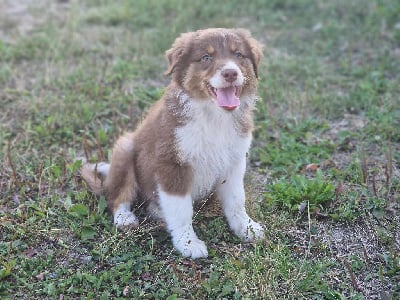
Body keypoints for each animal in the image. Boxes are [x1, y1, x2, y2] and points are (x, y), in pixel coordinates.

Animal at [79, 27, 264, 258]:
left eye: (238, 54)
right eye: (206, 57)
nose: (230, 73)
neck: (213, 116)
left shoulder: (234, 161)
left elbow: (237, 200)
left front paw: (246, 228)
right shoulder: (172, 163)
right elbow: (181, 209)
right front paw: (188, 243)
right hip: (125, 148)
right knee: (117, 195)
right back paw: (125, 217)